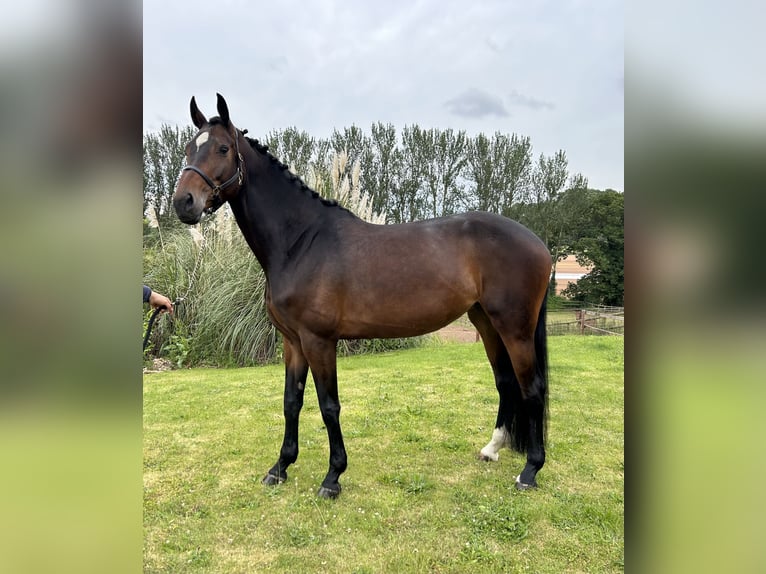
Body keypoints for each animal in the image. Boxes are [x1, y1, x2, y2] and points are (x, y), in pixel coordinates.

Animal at [172, 94, 552, 500]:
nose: (184, 202)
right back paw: (492, 449)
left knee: (532, 388)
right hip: (486, 321)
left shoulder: (319, 341)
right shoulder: (293, 342)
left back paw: (530, 470)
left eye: (223, 148)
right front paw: (280, 467)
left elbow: (328, 406)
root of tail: (538, 243)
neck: (301, 242)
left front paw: (332, 477)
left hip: (514, 328)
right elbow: (292, 402)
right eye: (188, 148)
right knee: (506, 383)